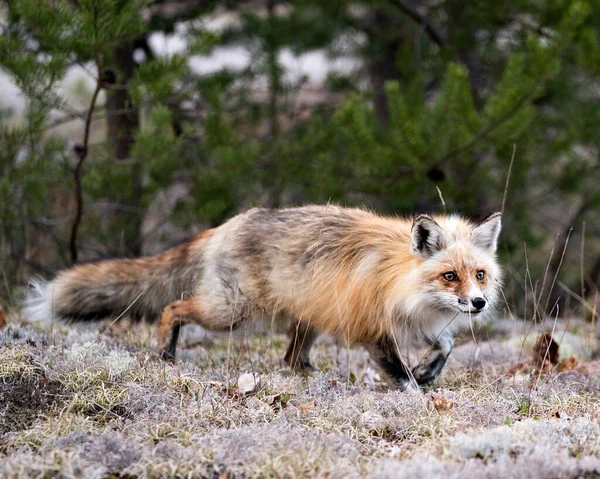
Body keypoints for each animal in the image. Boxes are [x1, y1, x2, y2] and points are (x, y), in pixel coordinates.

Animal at [23, 206, 502, 390]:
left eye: (479, 275)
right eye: (449, 276)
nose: (478, 303)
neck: (398, 280)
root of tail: (224, 225)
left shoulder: (417, 321)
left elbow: (446, 344)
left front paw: (429, 370)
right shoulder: (374, 328)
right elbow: (400, 375)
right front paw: (417, 391)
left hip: (308, 317)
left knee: (290, 358)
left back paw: (311, 378)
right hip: (229, 312)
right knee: (172, 308)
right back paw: (165, 354)